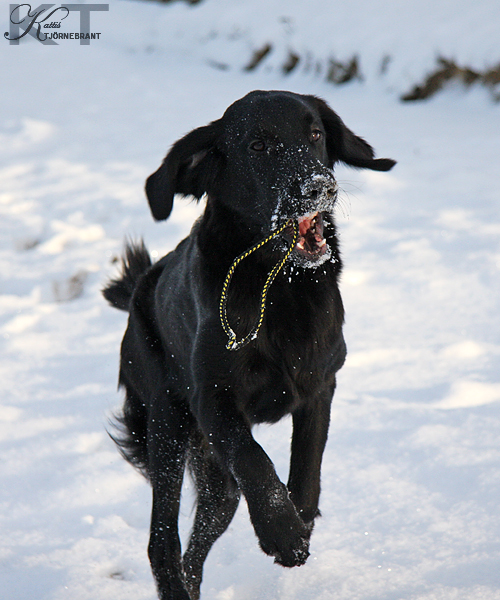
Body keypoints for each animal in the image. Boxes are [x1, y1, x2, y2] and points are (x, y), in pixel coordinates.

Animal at [104, 90, 394, 600]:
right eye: (258, 146)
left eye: (315, 134)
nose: (319, 186)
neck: (279, 289)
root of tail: (142, 284)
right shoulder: (213, 401)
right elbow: (256, 459)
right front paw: (283, 533)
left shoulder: (320, 386)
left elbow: (307, 469)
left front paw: (299, 524)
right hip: (167, 423)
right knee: (162, 541)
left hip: (220, 487)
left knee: (194, 552)